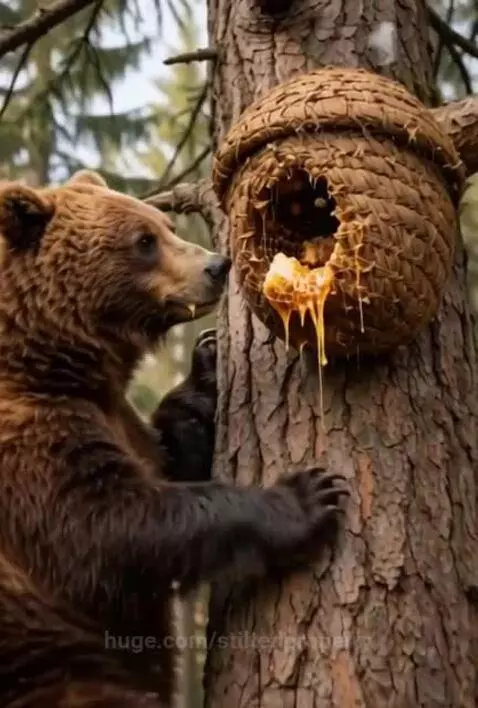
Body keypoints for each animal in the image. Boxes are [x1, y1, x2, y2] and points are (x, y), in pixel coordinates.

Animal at [0, 169, 348, 707]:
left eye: (165, 225)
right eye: (144, 241)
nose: (217, 265)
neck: (51, 364)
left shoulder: (118, 417)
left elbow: (171, 458)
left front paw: (207, 365)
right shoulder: (29, 441)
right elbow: (110, 526)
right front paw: (307, 496)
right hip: (47, 659)